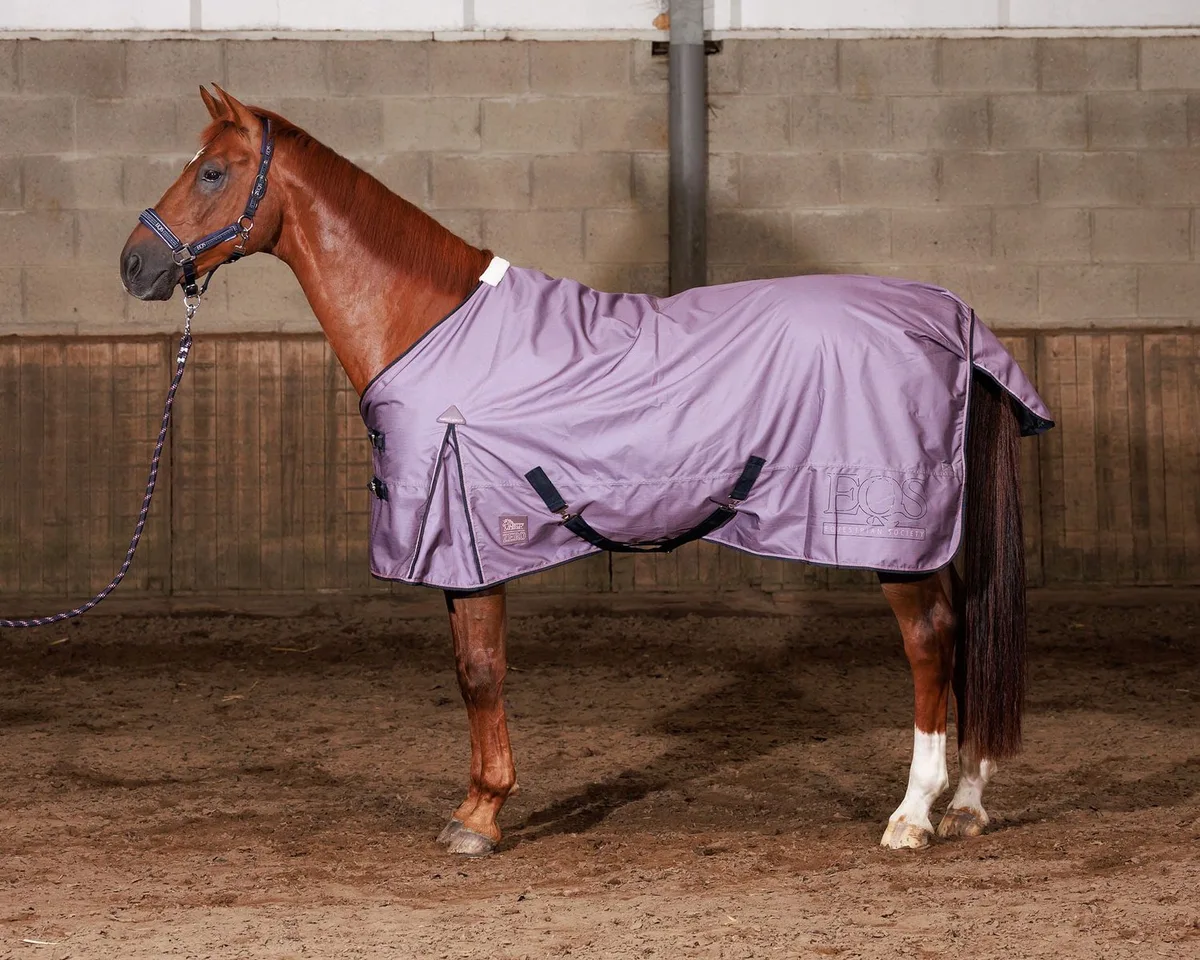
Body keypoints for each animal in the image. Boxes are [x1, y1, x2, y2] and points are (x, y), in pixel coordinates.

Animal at [120, 86, 1053, 857]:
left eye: (211, 171)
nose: (135, 264)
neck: (429, 323)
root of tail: (947, 318)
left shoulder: (471, 540)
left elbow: (480, 672)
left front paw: (481, 818)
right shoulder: (465, 548)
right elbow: (470, 671)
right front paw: (476, 806)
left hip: (891, 532)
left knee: (932, 641)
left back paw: (913, 815)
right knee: (966, 630)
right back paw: (968, 805)